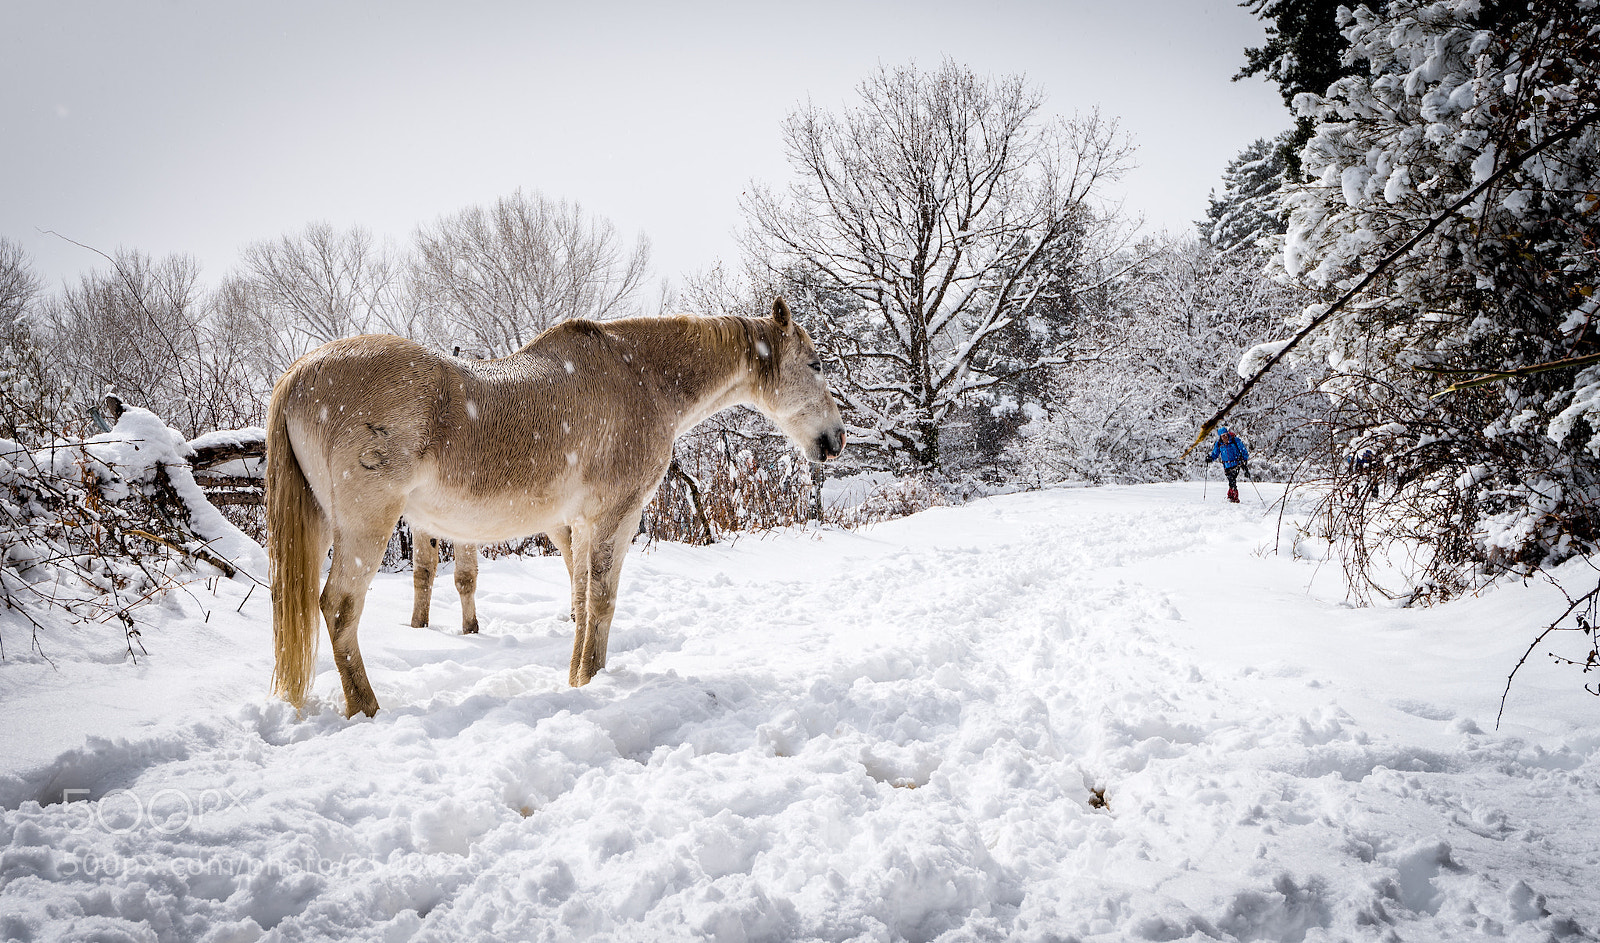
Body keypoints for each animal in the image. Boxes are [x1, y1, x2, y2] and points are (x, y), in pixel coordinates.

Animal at [266, 298, 845, 717]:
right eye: (815, 364)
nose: (836, 439)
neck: (641, 376)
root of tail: (300, 374)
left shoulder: (581, 525)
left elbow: (583, 600)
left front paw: (581, 679)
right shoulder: (616, 517)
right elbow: (602, 600)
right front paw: (592, 679)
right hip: (367, 525)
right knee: (340, 608)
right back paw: (367, 710)